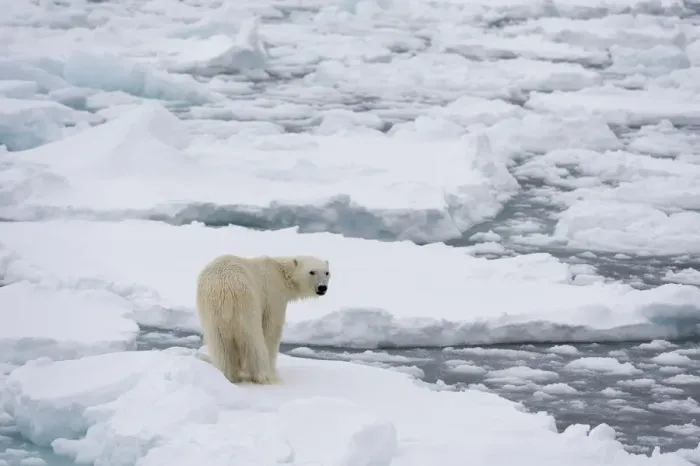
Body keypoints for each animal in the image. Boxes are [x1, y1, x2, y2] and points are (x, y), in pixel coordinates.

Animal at [195, 254, 330, 385]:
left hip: (212, 313)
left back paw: (228, 375)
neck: (281, 273)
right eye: (312, 272)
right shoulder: (272, 295)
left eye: (327, 272)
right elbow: (272, 329)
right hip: (247, 304)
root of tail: (225, 287)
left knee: (220, 345)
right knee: (254, 339)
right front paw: (272, 370)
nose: (322, 287)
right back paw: (264, 376)